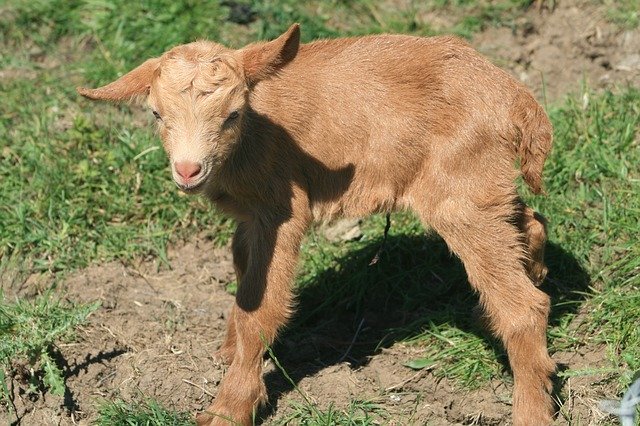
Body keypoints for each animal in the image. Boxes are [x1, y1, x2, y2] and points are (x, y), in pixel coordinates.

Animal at [79, 24, 556, 426]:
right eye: (156, 114)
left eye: (232, 114)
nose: (187, 170)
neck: (252, 135)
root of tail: (514, 97)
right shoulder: (252, 216)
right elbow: (241, 269)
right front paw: (230, 351)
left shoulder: (282, 210)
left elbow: (260, 307)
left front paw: (229, 408)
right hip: (479, 184)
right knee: (528, 220)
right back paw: (527, 275)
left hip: (460, 193)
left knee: (523, 307)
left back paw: (530, 409)